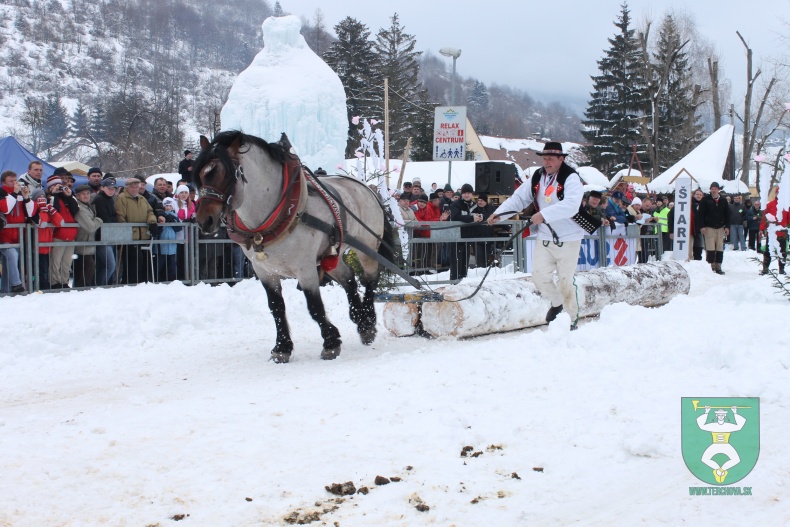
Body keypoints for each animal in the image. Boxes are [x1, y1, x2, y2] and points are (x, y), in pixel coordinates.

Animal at [192, 130, 396, 366]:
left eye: (224, 173)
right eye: (199, 175)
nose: (205, 221)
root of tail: (368, 189)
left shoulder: (305, 268)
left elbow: (314, 307)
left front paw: (330, 342)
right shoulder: (264, 271)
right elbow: (276, 307)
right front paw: (282, 347)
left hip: (367, 246)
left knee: (370, 278)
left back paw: (368, 321)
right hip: (330, 254)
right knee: (349, 277)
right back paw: (359, 317)